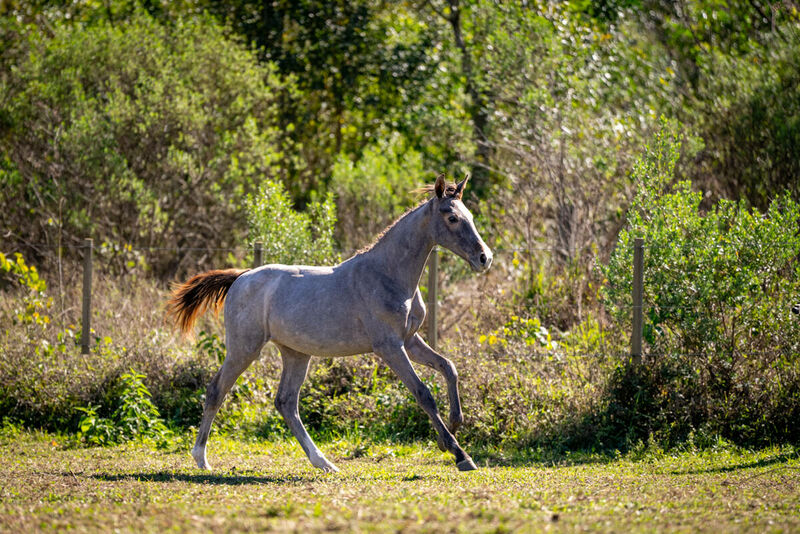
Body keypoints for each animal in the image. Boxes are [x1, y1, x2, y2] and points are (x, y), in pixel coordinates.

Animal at [168, 175, 490, 474]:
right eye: (452, 218)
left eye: (471, 217)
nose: (484, 258)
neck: (388, 275)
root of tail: (241, 277)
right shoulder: (390, 347)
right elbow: (423, 393)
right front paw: (459, 454)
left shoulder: (410, 341)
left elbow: (449, 367)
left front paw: (456, 423)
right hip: (244, 348)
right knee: (217, 390)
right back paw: (201, 458)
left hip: (296, 354)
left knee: (286, 403)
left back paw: (323, 462)